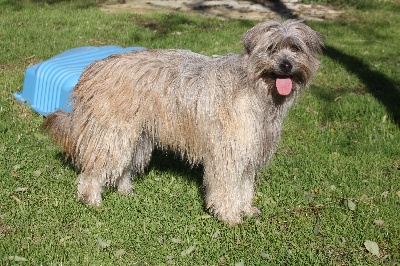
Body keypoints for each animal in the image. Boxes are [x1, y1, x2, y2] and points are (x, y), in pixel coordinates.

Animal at [43, 19, 324, 225]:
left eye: (295, 48)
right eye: (271, 48)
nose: (286, 65)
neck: (257, 87)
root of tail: (92, 69)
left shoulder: (249, 151)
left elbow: (244, 185)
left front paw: (245, 208)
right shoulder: (229, 153)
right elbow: (227, 186)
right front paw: (230, 216)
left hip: (137, 136)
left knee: (122, 167)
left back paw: (125, 191)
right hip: (113, 133)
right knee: (93, 171)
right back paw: (91, 199)